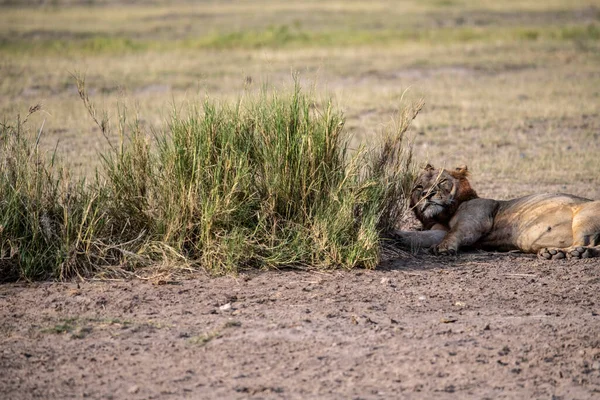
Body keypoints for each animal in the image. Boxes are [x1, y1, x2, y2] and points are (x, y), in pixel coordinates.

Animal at [394, 163, 600, 260]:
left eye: (442, 181)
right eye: (419, 187)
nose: (427, 194)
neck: (445, 214)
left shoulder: (476, 220)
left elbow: (455, 233)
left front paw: (443, 248)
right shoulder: (438, 230)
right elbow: (419, 237)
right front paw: (396, 235)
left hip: (584, 218)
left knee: (589, 244)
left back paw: (568, 252)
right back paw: (552, 253)